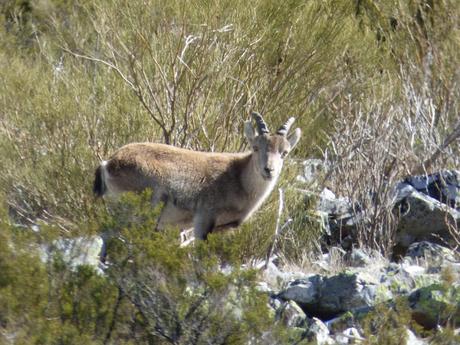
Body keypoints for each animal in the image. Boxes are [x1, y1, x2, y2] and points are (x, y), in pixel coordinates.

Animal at [93, 111, 302, 238]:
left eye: (285, 152)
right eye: (256, 147)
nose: (269, 170)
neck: (238, 180)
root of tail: (108, 163)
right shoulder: (204, 219)